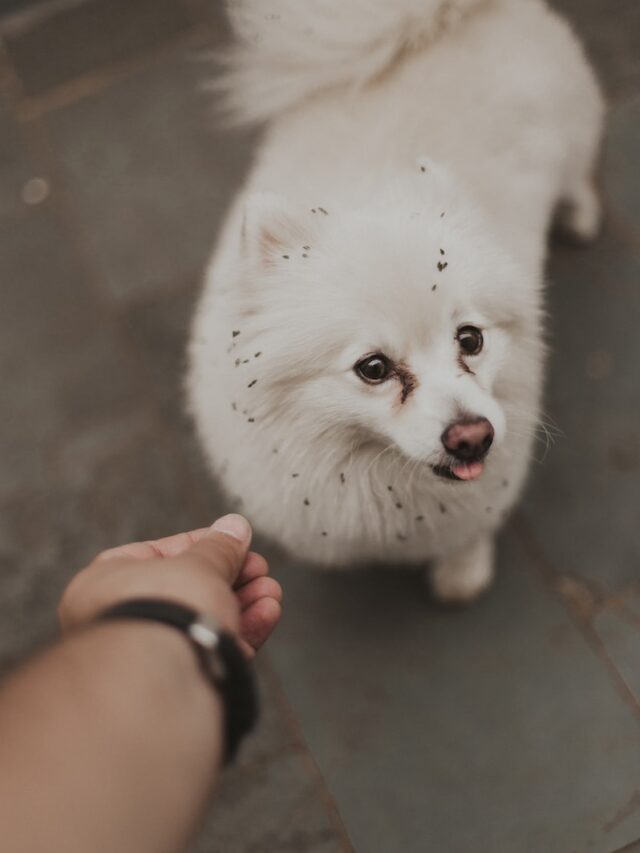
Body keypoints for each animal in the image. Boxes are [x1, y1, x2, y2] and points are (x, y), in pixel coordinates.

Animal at [186, 0, 604, 600]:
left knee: (577, 178)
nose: (472, 438)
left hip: (571, 138)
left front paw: (462, 573)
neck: (381, 478)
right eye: (373, 368)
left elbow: (469, 531)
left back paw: (581, 216)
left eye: (470, 339)